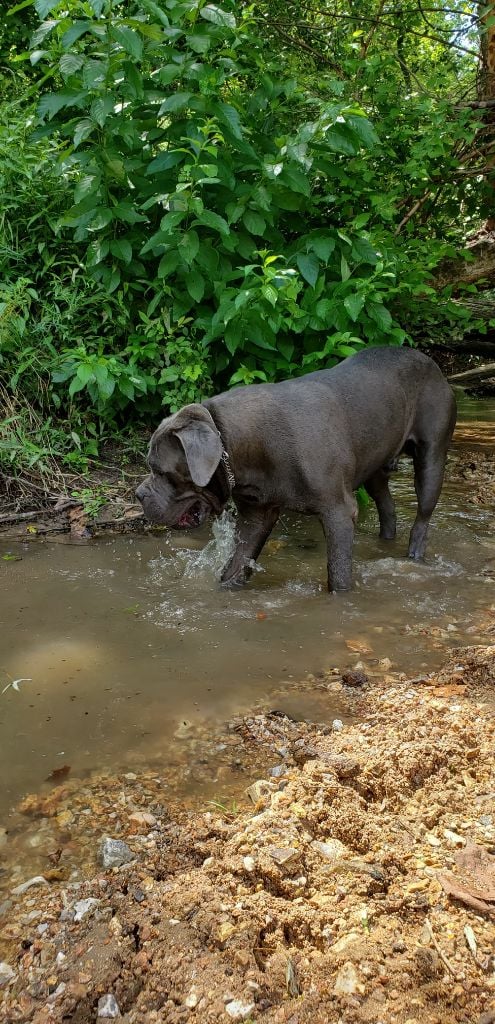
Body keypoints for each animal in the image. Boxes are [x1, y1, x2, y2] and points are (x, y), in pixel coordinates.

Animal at [135, 348, 457, 593]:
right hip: (375, 467)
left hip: (431, 458)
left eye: (160, 471)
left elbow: (338, 573)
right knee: (387, 506)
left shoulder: (338, 512)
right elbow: (236, 565)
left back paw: (414, 556)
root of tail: (431, 362)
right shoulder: (256, 516)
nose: (138, 494)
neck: (243, 444)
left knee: (422, 518)